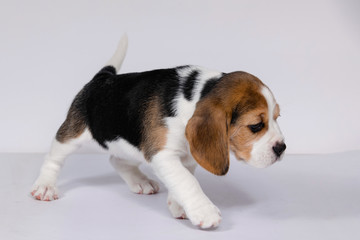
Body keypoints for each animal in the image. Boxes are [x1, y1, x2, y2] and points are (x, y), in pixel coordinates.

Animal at [33, 35, 286, 229]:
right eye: (256, 126)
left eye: (277, 118)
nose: (282, 148)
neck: (196, 96)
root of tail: (103, 79)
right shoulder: (163, 154)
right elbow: (187, 181)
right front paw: (204, 212)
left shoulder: (187, 155)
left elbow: (183, 178)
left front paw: (178, 205)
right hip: (73, 134)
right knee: (54, 157)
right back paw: (45, 186)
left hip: (127, 143)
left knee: (117, 159)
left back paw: (140, 182)